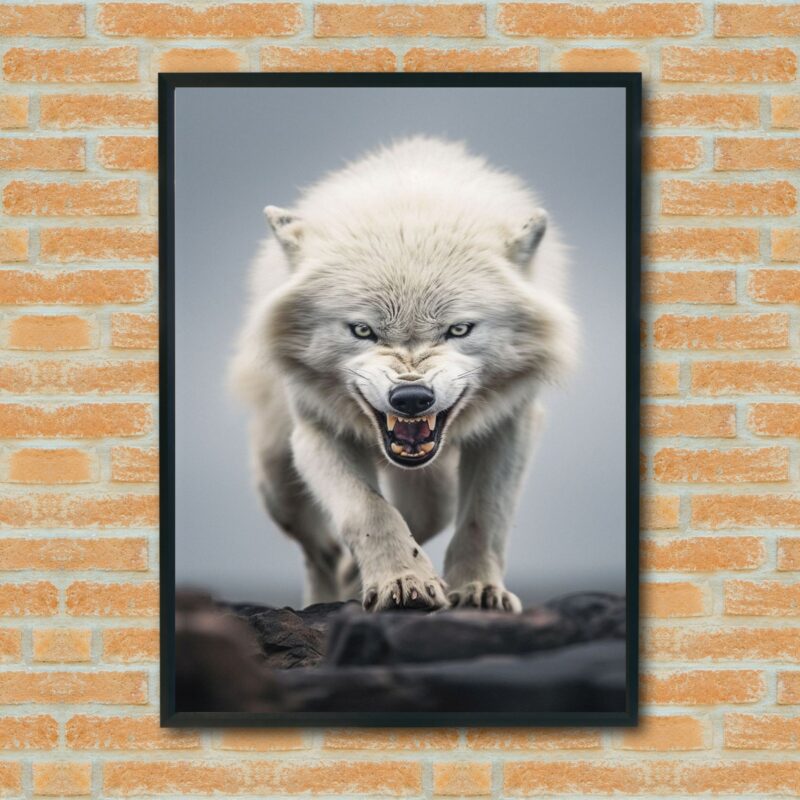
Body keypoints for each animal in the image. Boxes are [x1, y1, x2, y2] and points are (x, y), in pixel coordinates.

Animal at [231, 137, 577, 613]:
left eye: (458, 329)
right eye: (363, 330)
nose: (412, 398)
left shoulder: (513, 424)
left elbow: (485, 516)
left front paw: (477, 590)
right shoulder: (317, 432)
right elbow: (369, 511)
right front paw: (403, 581)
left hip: (433, 485)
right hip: (278, 482)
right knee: (320, 552)